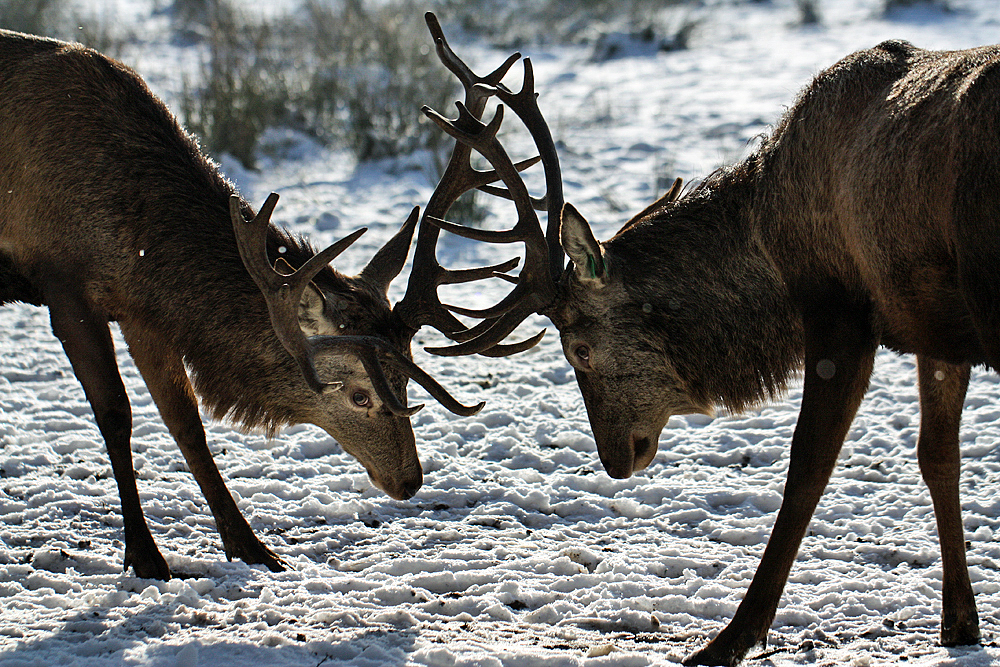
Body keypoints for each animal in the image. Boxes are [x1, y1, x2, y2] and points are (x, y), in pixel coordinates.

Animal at [0, 24, 516, 580]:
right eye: (359, 395)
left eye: (404, 379)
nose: (409, 481)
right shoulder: (65, 286)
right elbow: (116, 414)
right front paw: (144, 555)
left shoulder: (146, 314)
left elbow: (186, 423)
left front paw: (251, 547)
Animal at [412, 15, 992, 664]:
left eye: (578, 349)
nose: (615, 459)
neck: (769, 252)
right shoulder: (933, 331)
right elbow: (938, 456)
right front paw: (959, 622)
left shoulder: (837, 311)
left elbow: (807, 466)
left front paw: (734, 636)